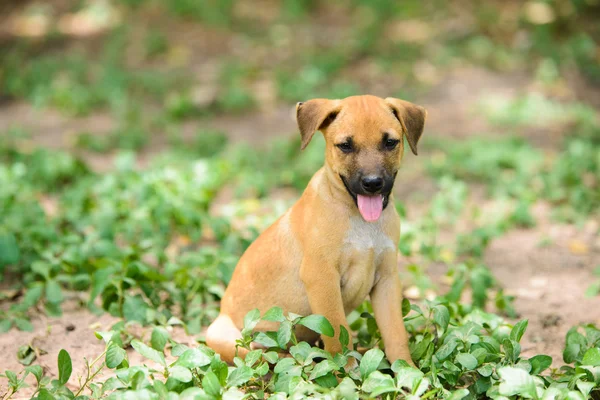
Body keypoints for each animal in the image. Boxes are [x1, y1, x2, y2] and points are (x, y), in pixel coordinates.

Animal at [207, 94, 426, 368]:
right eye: (345, 146)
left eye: (390, 142)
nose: (373, 183)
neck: (360, 220)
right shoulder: (322, 278)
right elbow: (338, 334)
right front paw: (345, 372)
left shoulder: (386, 279)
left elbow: (396, 333)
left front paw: (406, 370)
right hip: (222, 335)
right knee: (254, 354)